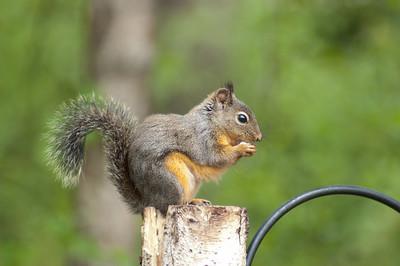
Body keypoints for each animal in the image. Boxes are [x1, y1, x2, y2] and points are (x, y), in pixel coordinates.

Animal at [46, 82, 262, 215]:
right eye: (242, 118)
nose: (259, 138)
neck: (212, 122)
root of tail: (148, 202)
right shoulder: (203, 139)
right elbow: (215, 157)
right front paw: (243, 148)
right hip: (171, 178)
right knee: (169, 205)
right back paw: (187, 203)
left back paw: (196, 200)